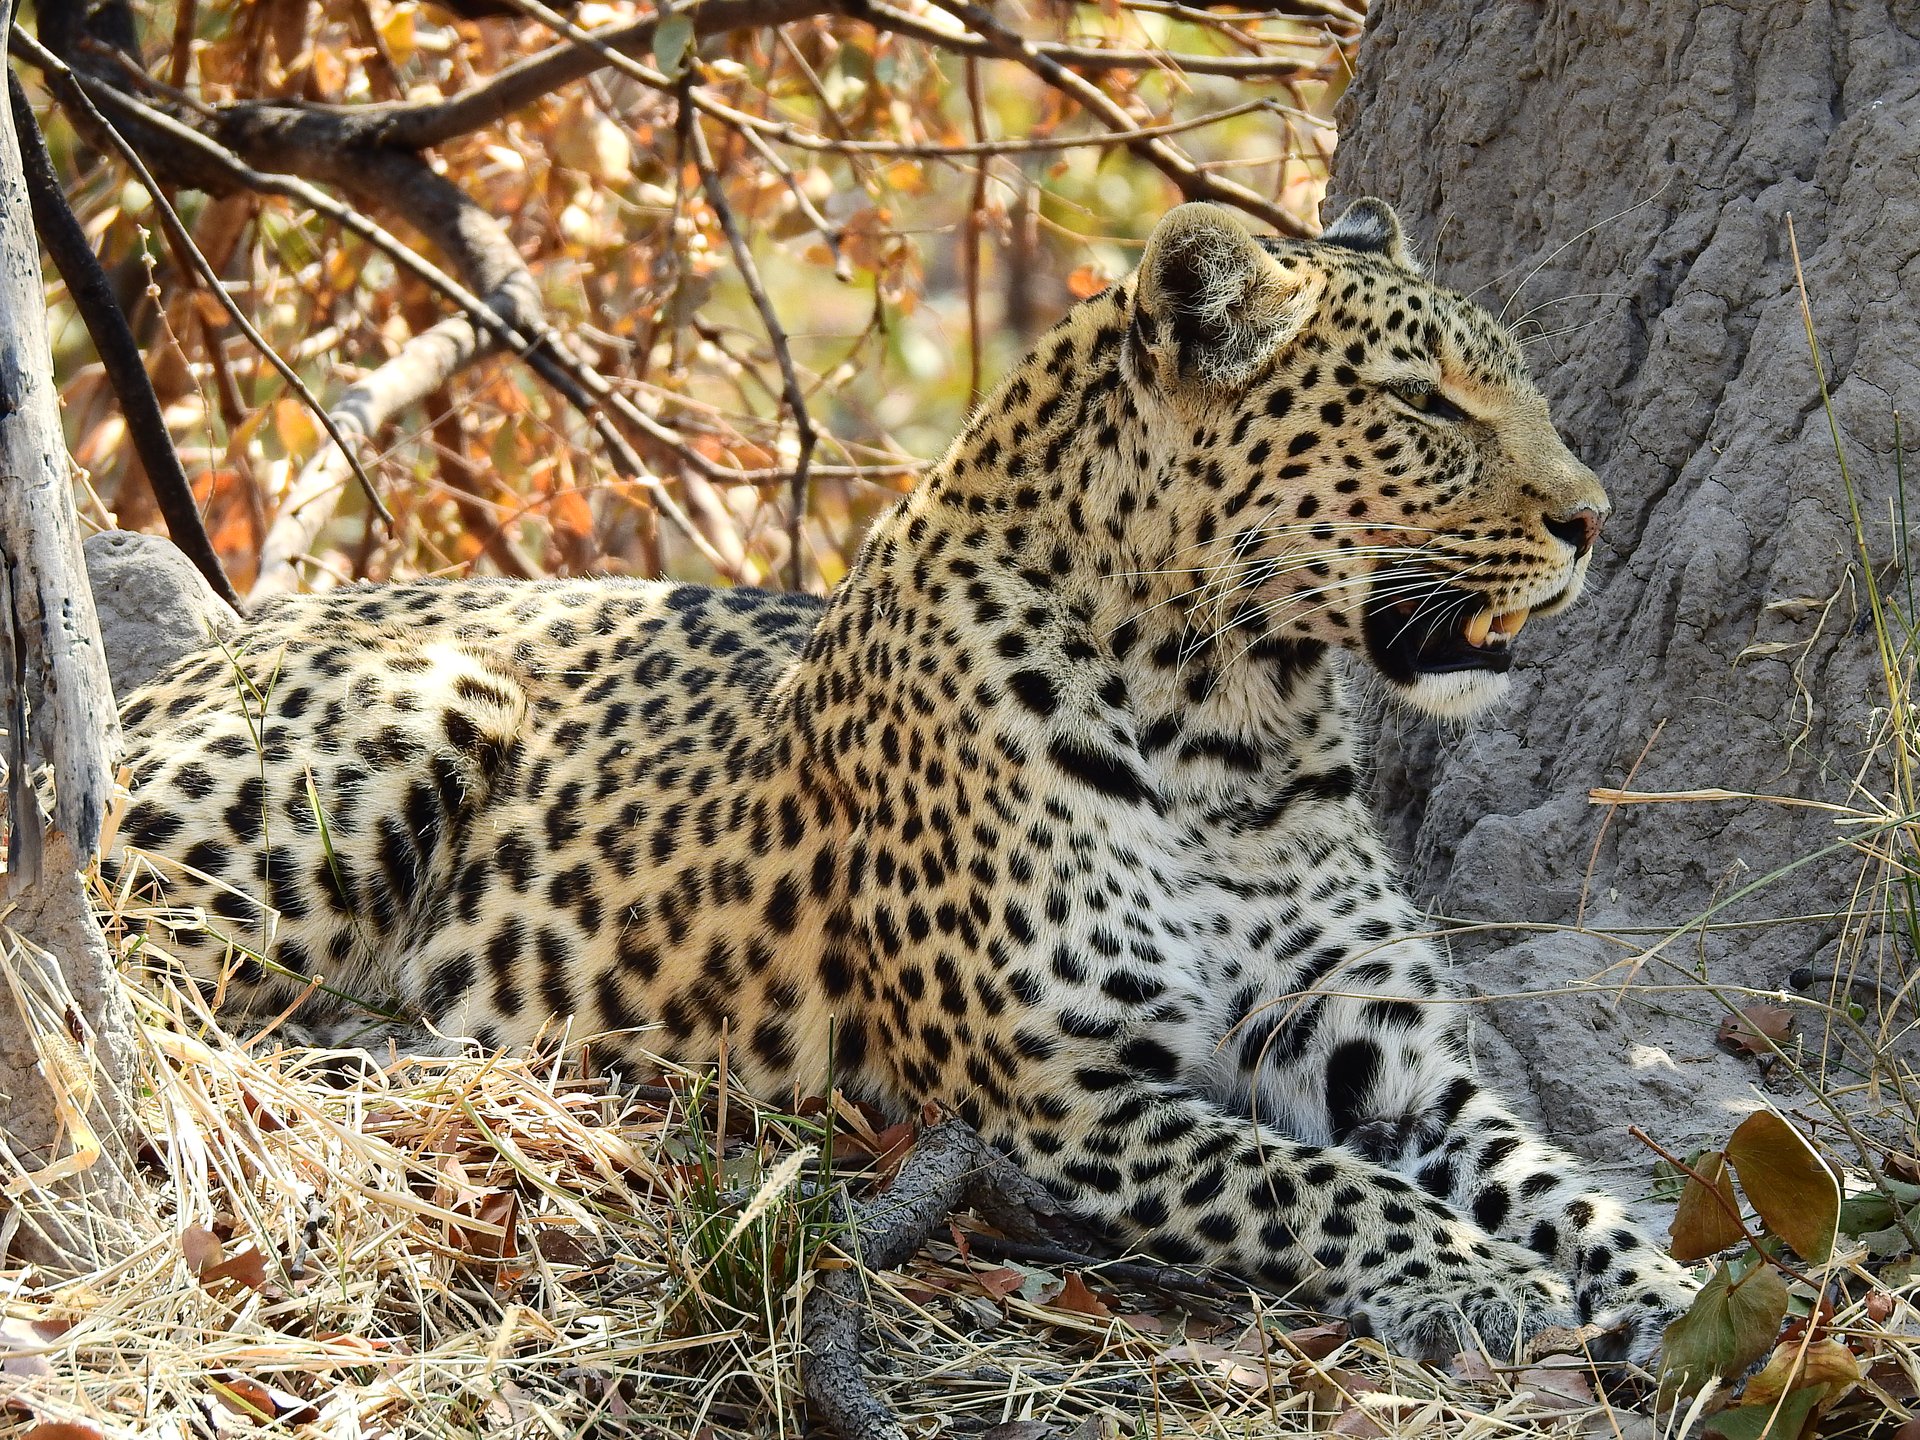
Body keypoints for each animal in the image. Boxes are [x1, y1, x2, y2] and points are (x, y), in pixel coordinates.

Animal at [109, 199, 1698, 1363]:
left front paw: (1683, 1305)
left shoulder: (1388, 1055)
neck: (1233, 731)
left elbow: (1561, 1187)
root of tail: (201, 655)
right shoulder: (1062, 1097)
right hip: (384, 739)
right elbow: (1311, 1182)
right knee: (148, 995)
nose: (1596, 517)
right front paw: (1477, 1285)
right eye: (1424, 405)